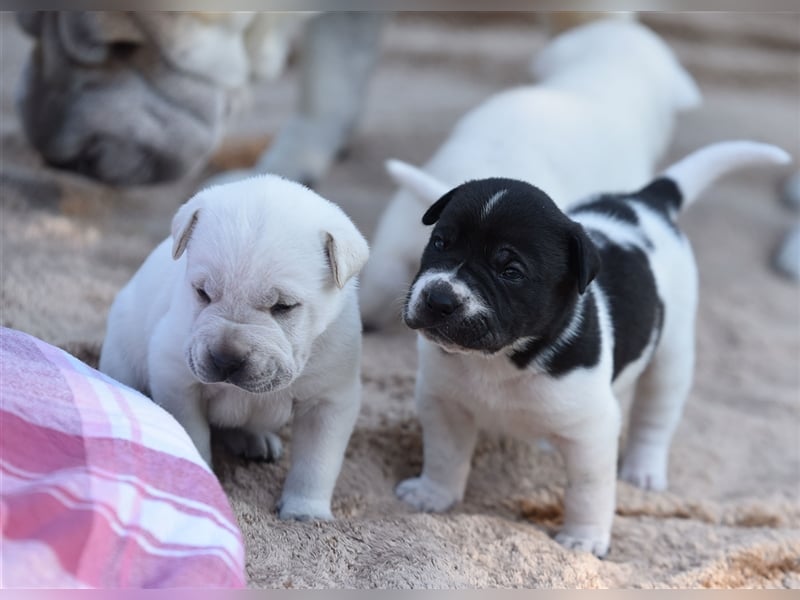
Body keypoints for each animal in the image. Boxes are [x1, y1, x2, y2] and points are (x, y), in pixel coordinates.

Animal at [101, 175, 372, 520]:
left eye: (284, 307)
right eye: (202, 292)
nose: (226, 359)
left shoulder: (329, 400)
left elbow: (317, 459)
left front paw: (305, 511)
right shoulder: (177, 380)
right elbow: (193, 435)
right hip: (122, 356)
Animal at [394, 142, 788, 556]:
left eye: (511, 271)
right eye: (440, 243)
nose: (438, 299)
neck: (500, 359)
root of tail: (644, 202)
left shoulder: (593, 433)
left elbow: (588, 489)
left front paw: (583, 539)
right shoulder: (444, 404)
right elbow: (444, 455)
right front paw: (432, 495)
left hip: (672, 352)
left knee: (655, 414)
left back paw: (644, 468)